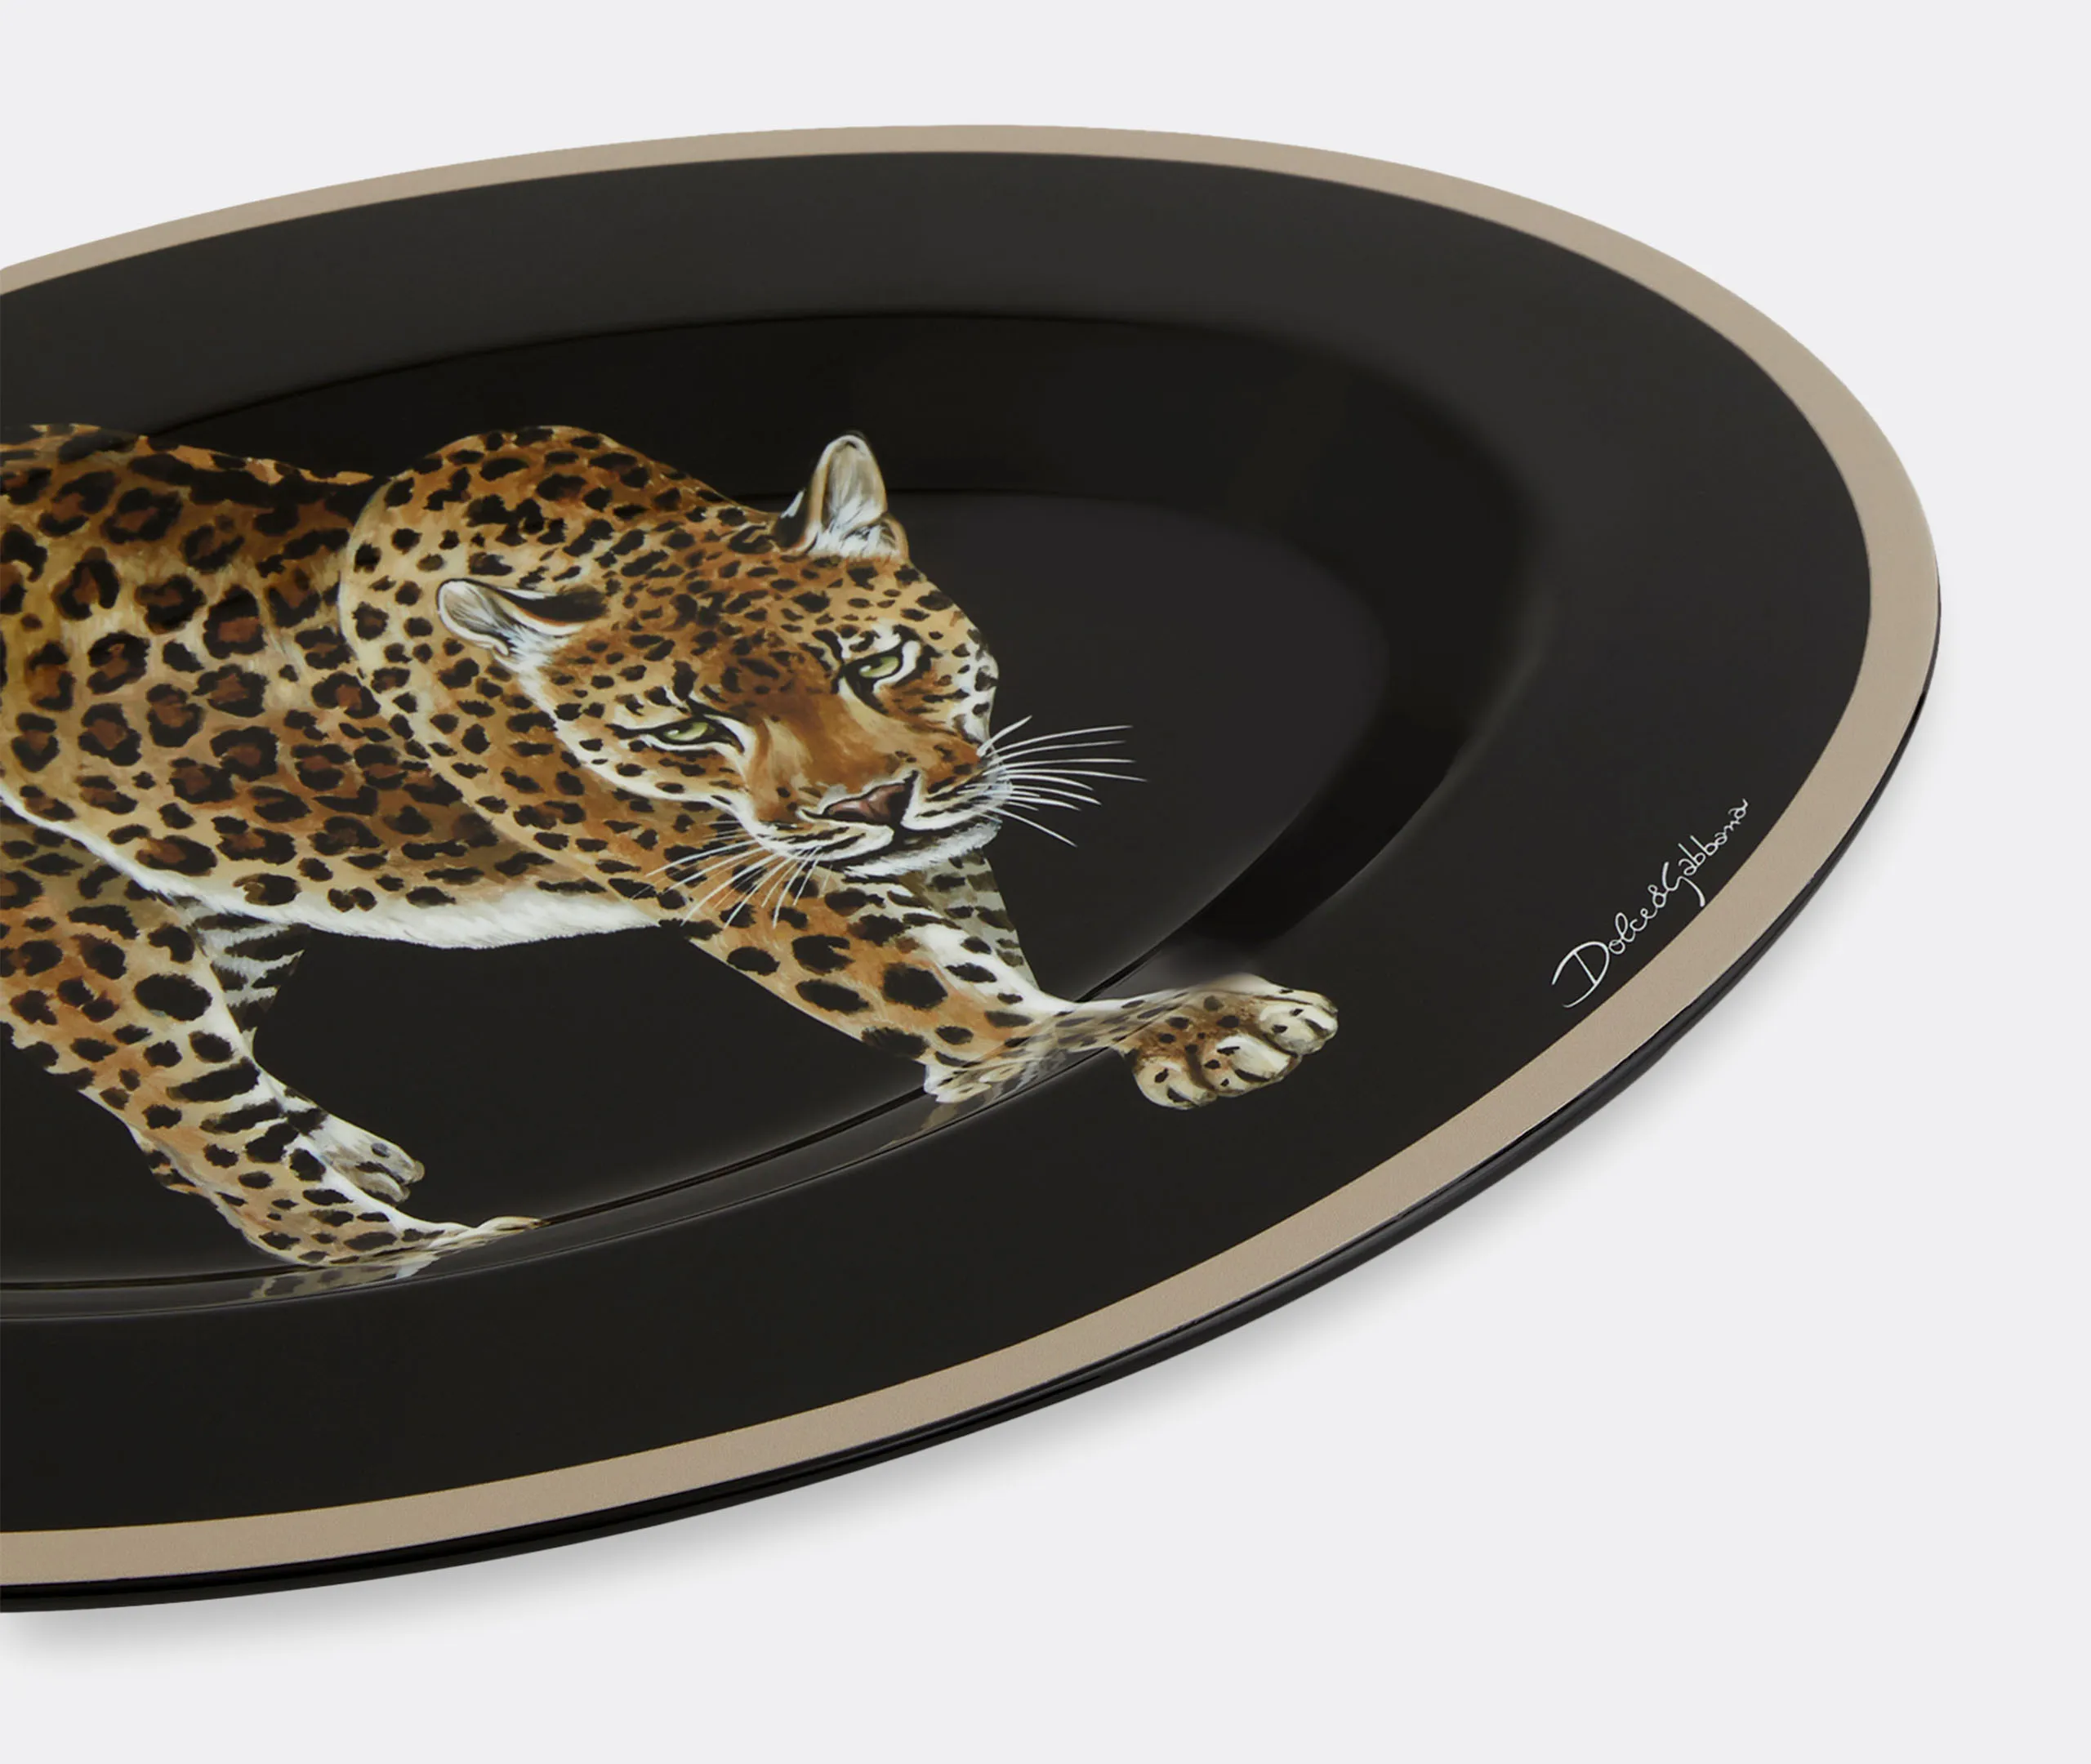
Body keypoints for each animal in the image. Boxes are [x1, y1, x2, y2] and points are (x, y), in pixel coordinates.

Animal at [0, 422, 1337, 1272]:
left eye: (874, 663)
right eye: (688, 727)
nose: (874, 804)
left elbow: (977, 950)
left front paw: (993, 1067)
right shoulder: (741, 883)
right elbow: (948, 991)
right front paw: (1183, 1027)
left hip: (222, 887)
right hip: (73, 930)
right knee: (208, 1135)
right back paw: (438, 1252)